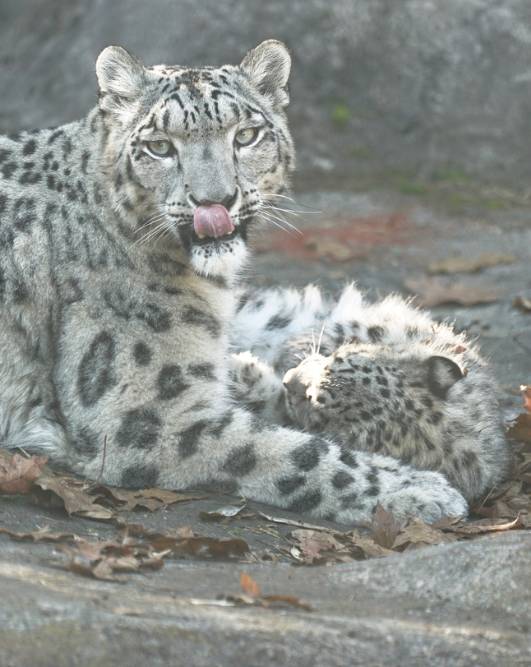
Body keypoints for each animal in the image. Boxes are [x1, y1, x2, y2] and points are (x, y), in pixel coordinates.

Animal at [0, 41, 467, 525]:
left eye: (245, 136)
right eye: (159, 146)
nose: (215, 202)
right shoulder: (139, 414)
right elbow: (292, 453)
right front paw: (421, 488)